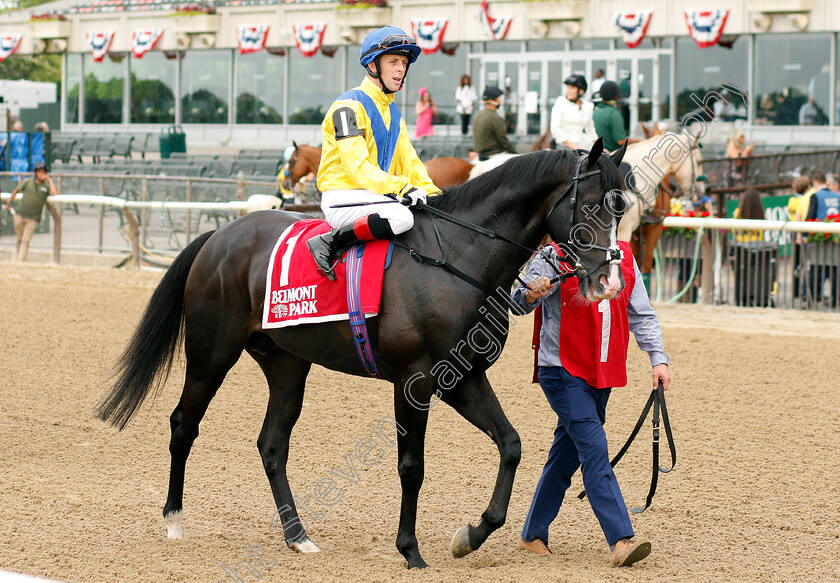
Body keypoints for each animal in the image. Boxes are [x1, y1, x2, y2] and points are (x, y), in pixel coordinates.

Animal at [97, 141, 624, 572]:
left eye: (622, 208)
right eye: (592, 206)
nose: (609, 281)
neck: (458, 258)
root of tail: (220, 237)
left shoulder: (463, 378)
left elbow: (510, 444)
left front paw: (471, 536)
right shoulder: (414, 381)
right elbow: (411, 467)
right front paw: (411, 550)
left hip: (287, 365)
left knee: (272, 445)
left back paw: (298, 536)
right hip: (211, 355)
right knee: (184, 424)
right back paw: (174, 520)